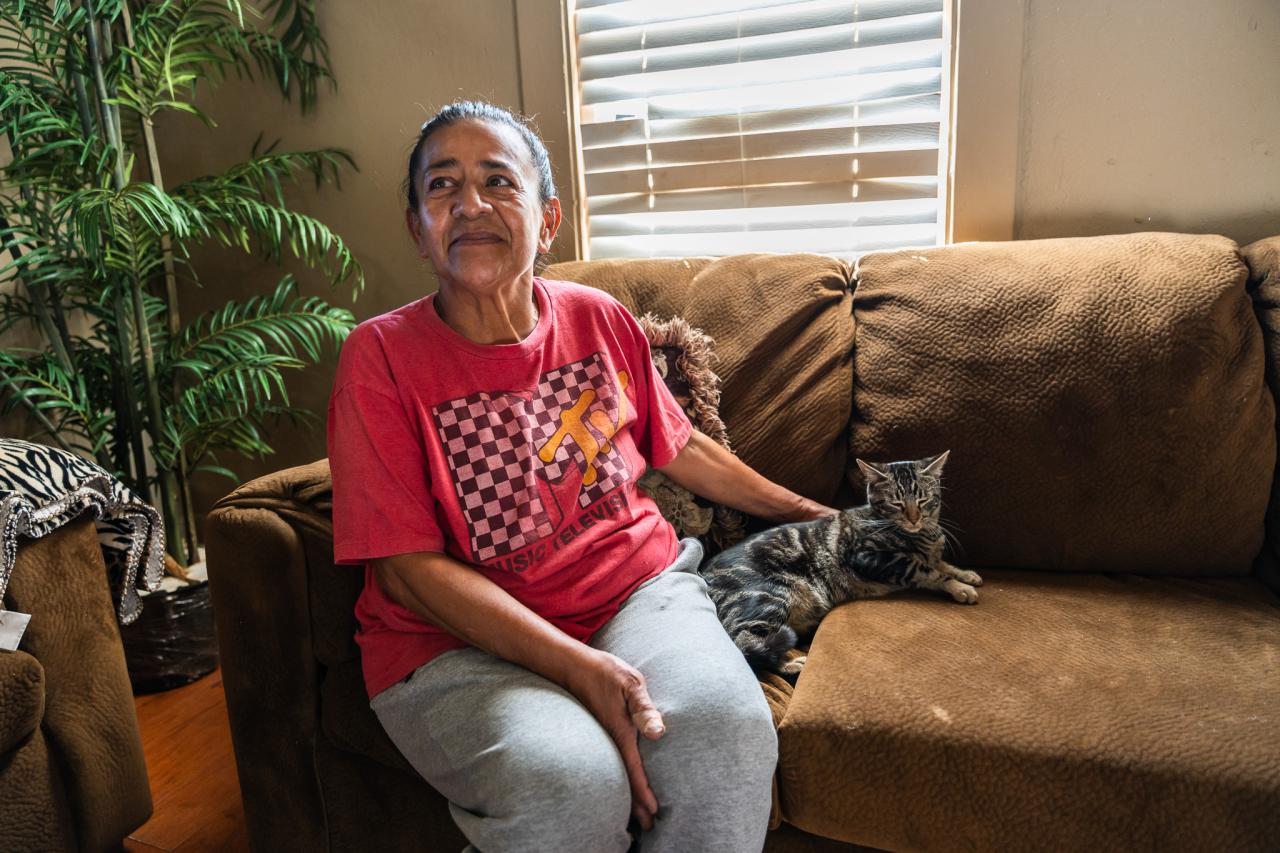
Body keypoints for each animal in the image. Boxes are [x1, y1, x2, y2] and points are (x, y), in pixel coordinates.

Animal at [701, 450, 977, 676]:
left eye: (923, 500)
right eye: (896, 503)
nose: (913, 519)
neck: (923, 535)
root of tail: (704, 573)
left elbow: (940, 564)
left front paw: (965, 573)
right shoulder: (871, 557)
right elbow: (927, 571)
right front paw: (959, 587)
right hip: (768, 596)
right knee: (744, 643)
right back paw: (789, 663)